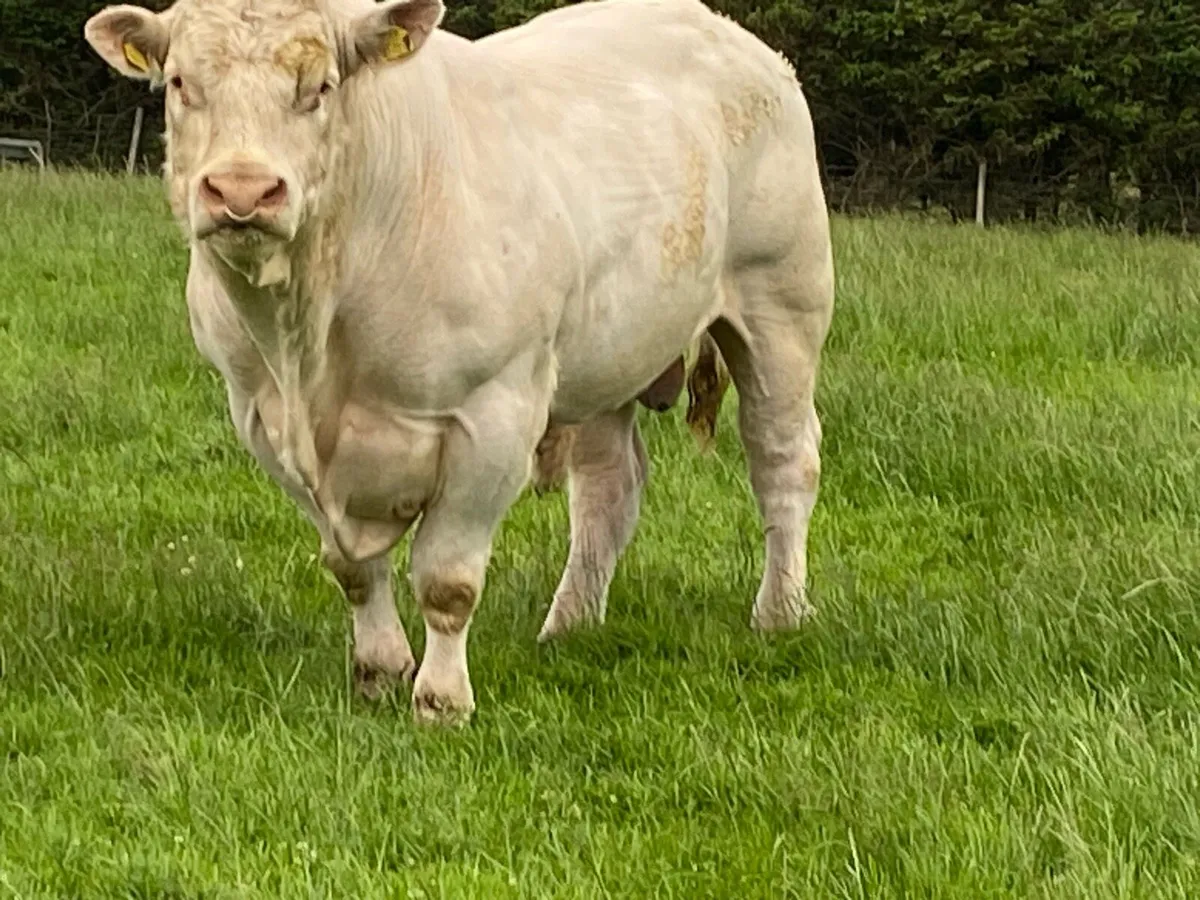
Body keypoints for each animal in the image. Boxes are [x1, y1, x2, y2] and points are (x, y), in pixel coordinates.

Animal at [83, 0, 836, 726]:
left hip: (781, 306)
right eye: (181, 83)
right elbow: (351, 568)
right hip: (606, 356)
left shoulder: (493, 413)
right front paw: (380, 671)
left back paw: (780, 612)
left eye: (320, 87)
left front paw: (442, 700)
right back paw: (569, 623)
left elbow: (447, 580)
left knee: (783, 460)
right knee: (608, 488)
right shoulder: (263, 419)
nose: (242, 191)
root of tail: (735, 36)